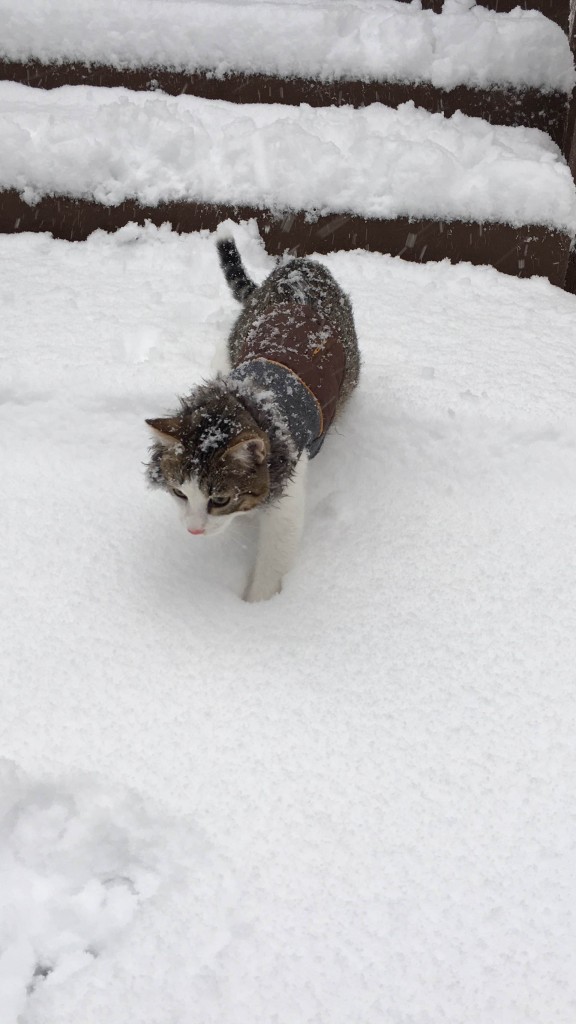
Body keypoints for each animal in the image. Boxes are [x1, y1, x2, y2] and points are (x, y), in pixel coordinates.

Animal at [144, 232, 358, 598]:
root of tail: (300, 266)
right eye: (179, 493)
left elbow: (273, 559)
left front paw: (256, 609)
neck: (247, 399)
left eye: (219, 499)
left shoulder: (286, 503)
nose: (193, 530)